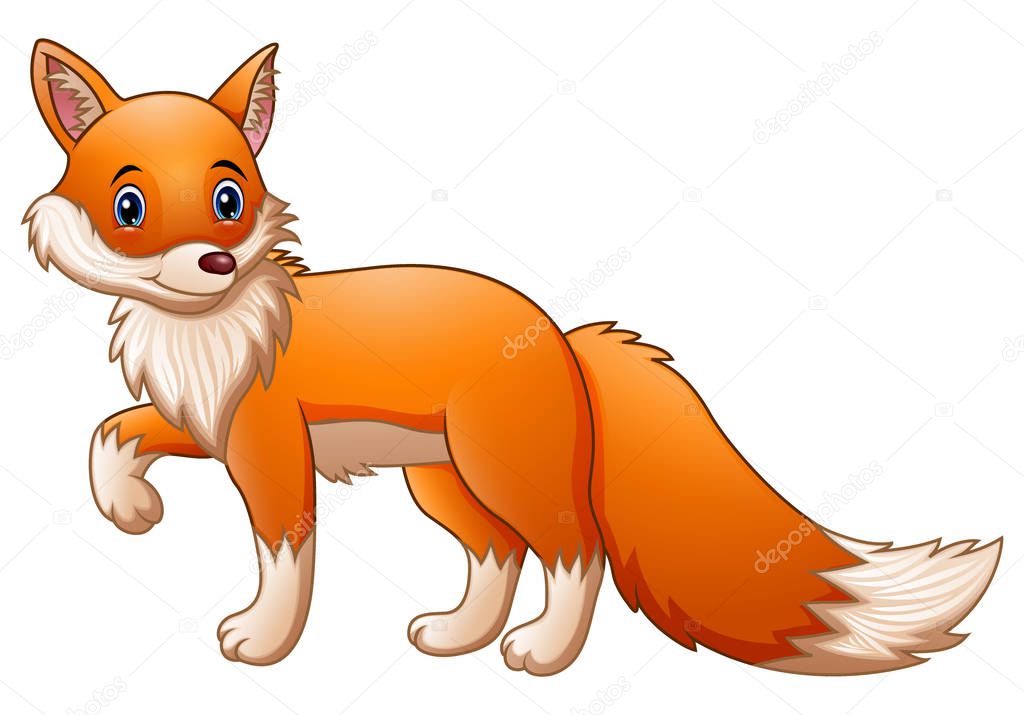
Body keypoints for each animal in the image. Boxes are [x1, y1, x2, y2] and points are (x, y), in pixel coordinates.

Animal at [24, 39, 1002, 676]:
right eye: (131, 207)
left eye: (228, 198)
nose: (216, 263)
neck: (212, 327)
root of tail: (559, 334)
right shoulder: (210, 425)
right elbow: (111, 434)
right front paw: (130, 507)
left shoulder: (270, 454)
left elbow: (283, 555)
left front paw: (264, 641)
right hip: (444, 482)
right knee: (499, 552)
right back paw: (460, 636)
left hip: (504, 470)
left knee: (576, 550)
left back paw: (540, 651)